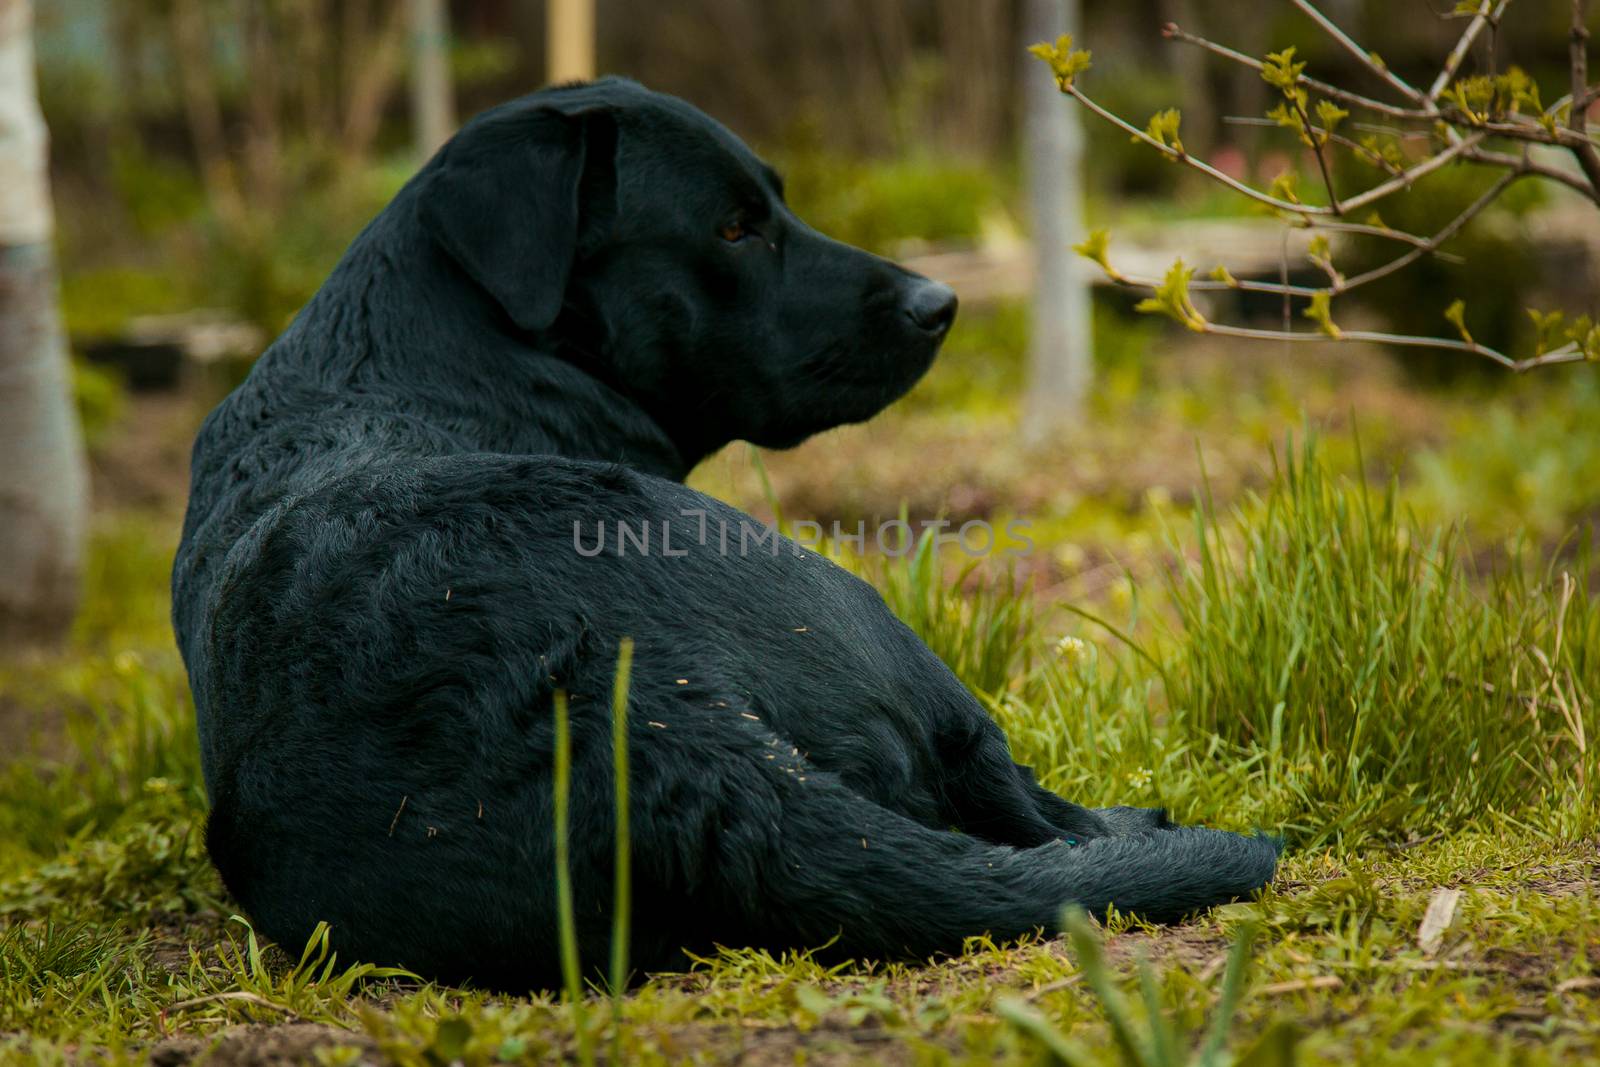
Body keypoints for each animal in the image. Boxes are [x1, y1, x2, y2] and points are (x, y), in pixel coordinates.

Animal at [172, 79, 1273, 991]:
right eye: (736, 228)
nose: (942, 303)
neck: (444, 358)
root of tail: (643, 722)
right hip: (862, 617)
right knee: (1026, 805)